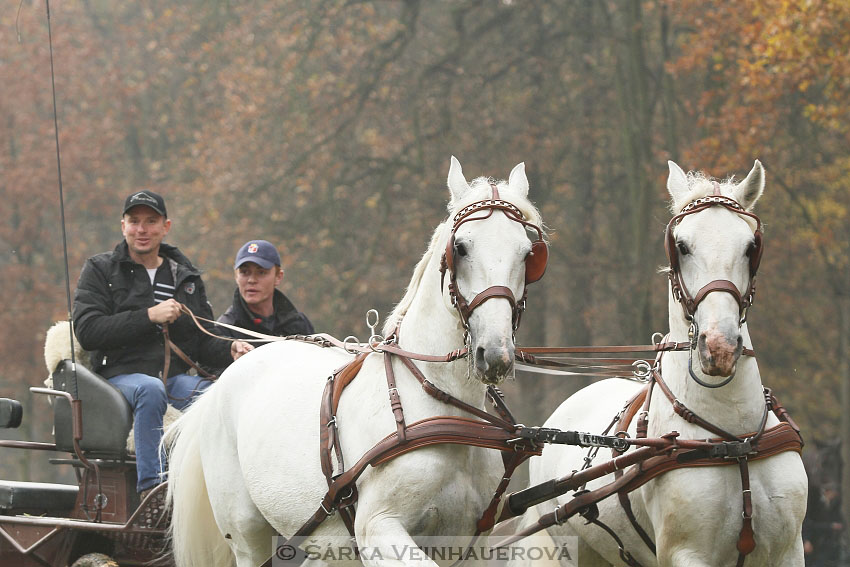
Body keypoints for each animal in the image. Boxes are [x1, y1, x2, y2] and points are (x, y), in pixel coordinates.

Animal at [163, 156, 548, 567]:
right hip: (247, 533)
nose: (495, 354)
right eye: (459, 248)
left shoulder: (471, 542)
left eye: (528, 254)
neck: (448, 412)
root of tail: (225, 379)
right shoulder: (379, 528)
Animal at [528, 161, 804, 567]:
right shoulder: (685, 553)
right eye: (681, 246)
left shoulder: (788, 549)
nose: (719, 347)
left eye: (751, 247)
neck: (733, 439)